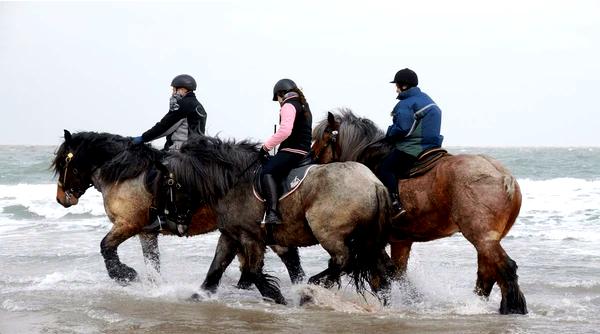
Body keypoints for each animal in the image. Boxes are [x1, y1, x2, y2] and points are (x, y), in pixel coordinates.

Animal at [51, 130, 304, 288]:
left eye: (63, 162)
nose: (61, 199)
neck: (125, 173)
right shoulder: (146, 232)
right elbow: (152, 263)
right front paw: (155, 287)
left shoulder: (128, 224)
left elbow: (106, 247)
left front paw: (125, 275)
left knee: (288, 257)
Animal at [159, 136, 394, 306]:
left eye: (169, 185)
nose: (175, 222)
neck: (236, 183)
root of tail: (375, 184)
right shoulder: (231, 236)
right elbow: (216, 268)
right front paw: (198, 295)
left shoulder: (251, 238)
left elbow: (253, 272)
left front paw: (276, 296)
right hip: (369, 240)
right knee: (380, 268)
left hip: (330, 234)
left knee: (343, 260)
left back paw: (312, 288)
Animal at [312, 110, 528, 316]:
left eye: (324, 136)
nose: (312, 158)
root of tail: (503, 175)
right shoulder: (401, 241)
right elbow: (397, 273)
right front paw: (413, 299)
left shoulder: (376, 242)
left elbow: (382, 274)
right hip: (487, 240)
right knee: (488, 271)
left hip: (483, 238)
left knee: (505, 268)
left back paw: (511, 307)